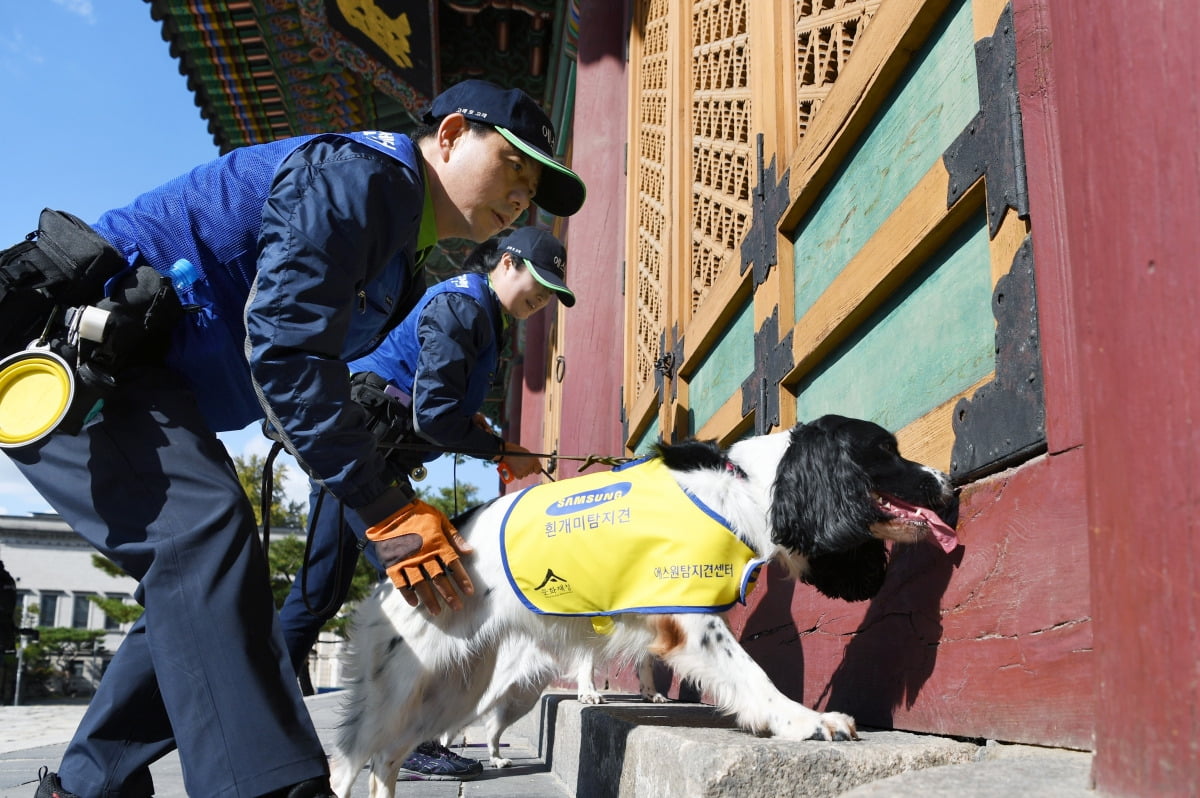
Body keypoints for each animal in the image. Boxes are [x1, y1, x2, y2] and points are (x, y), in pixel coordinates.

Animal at [328, 412, 955, 792]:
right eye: (887, 451)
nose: (948, 483)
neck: (743, 486)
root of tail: (392, 573)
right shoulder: (693, 619)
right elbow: (753, 676)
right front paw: (805, 720)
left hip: (454, 691)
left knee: (387, 759)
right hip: (401, 689)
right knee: (349, 761)